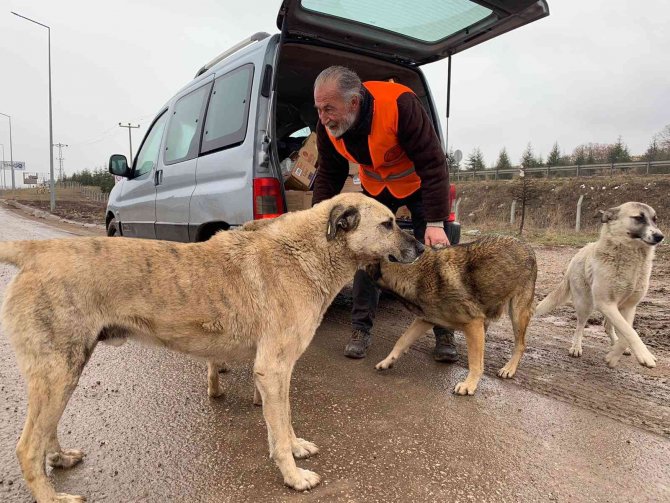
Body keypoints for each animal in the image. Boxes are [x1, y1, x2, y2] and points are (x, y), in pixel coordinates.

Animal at [0, 193, 426, 503]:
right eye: (387, 223)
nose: (423, 247)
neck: (307, 252)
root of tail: (36, 251)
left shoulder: (281, 369)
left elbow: (285, 419)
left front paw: (296, 446)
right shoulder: (273, 368)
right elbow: (278, 429)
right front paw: (292, 475)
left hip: (63, 373)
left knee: (45, 434)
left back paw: (59, 458)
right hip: (58, 373)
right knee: (26, 448)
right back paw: (53, 497)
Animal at [370, 236, 540, 398]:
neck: (418, 274)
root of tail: (527, 246)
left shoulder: (473, 323)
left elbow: (475, 362)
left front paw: (469, 384)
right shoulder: (425, 320)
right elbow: (402, 340)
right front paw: (387, 361)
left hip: (517, 315)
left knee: (520, 345)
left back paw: (509, 368)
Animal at [536, 202, 668, 370]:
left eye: (655, 219)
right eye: (638, 218)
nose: (660, 236)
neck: (632, 257)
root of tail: (579, 252)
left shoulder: (628, 306)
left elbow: (627, 331)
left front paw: (615, 355)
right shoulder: (605, 303)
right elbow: (630, 331)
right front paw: (642, 355)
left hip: (614, 306)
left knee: (607, 325)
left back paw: (615, 343)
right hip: (585, 304)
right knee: (580, 325)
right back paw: (576, 347)